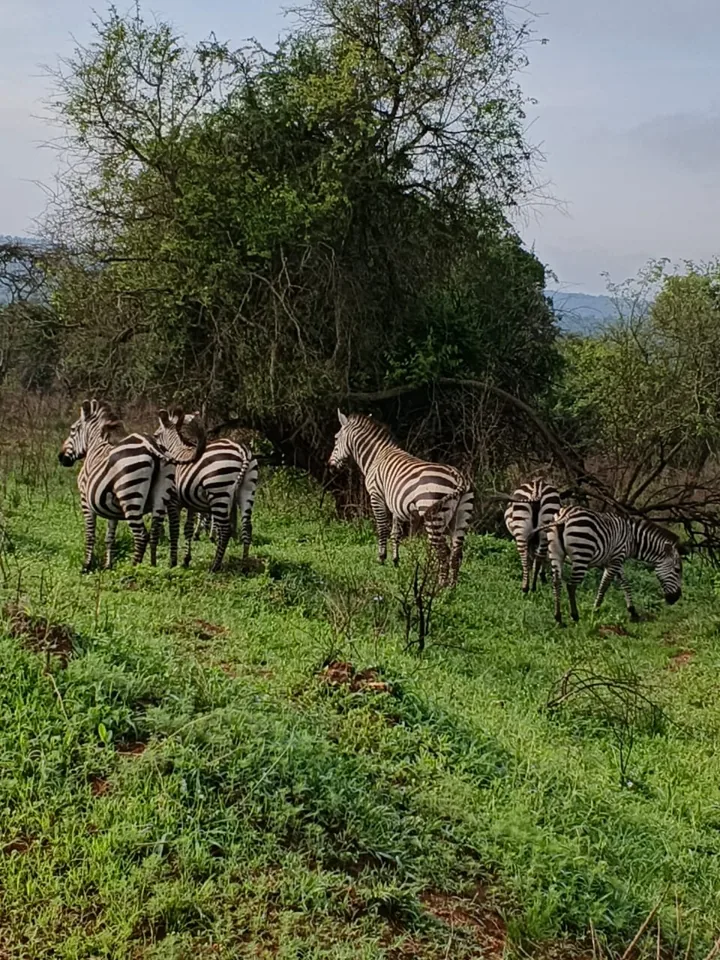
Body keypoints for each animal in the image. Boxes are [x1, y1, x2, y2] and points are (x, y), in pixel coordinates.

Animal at [59, 400, 204, 573]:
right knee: (155, 532)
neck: (96, 448)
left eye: (73, 430)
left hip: (130, 496)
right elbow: (109, 537)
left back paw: (133, 569)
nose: (60, 457)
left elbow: (90, 535)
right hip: (161, 496)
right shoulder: (112, 509)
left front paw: (86, 566)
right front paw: (108, 565)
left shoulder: (85, 500)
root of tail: (151, 444)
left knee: (141, 535)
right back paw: (152, 566)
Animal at [154, 409, 258, 572]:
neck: (177, 450)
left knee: (225, 529)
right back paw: (244, 565)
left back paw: (215, 566)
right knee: (247, 527)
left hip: (219, 490)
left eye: (155, 436)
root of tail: (241, 450)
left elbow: (175, 529)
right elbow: (188, 530)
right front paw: (186, 560)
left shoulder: (174, 502)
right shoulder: (190, 504)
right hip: (247, 490)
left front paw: (172, 562)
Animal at [328, 411, 474, 586]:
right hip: (462, 516)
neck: (376, 457)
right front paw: (395, 560)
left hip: (433, 515)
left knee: (443, 551)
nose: (330, 466)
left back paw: (440, 585)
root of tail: (457, 476)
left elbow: (382, 528)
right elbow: (395, 532)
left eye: (336, 438)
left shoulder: (376, 496)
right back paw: (452, 586)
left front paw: (381, 558)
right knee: (456, 553)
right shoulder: (395, 504)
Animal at [546, 505, 684, 625]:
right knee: (571, 586)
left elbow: (625, 584)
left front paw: (633, 612)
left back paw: (558, 618)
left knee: (556, 583)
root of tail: (565, 514)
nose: (676, 598)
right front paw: (595, 611)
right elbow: (604, 586)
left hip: (555, 554)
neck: (633, 539)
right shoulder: (616, 560)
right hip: (582, 555)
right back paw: (575, 616)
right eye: (677, 570)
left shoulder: (615, 560)